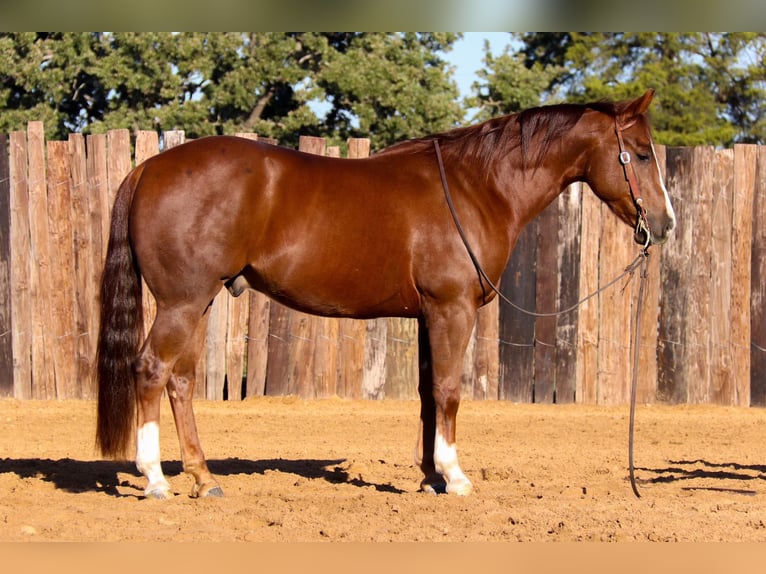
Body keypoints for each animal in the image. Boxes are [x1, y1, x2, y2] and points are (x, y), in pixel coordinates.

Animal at [96, 89, 680, 500]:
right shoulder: (452, 309)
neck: (476, 187)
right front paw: (455, 477)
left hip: (200, 302)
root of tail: (148, 167)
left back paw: (202, 477)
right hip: (182, 303)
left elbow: (427, 395)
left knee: (181, 382)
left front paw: (429, 478)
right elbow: (449, 391)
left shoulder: (428, 315)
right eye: (641, 154)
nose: (666, 224)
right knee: (150, 370)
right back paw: (156, 479)